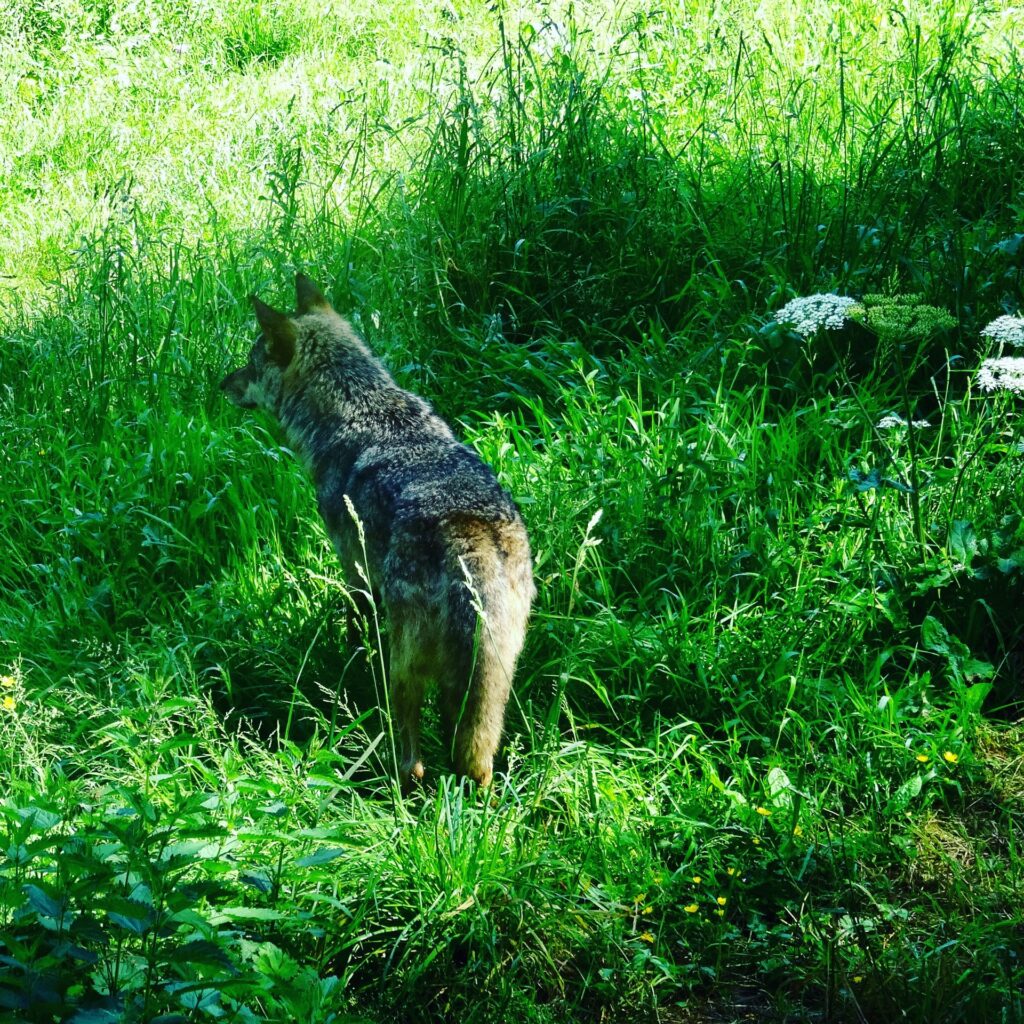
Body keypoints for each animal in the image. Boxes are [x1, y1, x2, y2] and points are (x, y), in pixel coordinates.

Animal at [218, 276, 536, 786]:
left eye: (250, 360)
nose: (222, 385)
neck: (361, 406)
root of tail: (467, 539)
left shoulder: (356, 571)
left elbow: (353, 629)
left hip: (405, 671)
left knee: (414, 763)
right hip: (493, 681)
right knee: (476, 758)